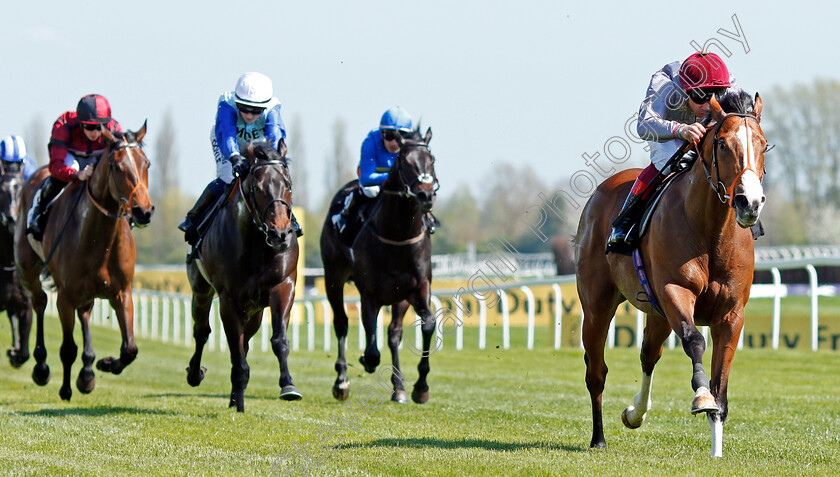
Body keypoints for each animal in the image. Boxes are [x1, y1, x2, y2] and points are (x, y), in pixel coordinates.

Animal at [13, 124, 153, 400]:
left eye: (147, 164)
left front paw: (104, 364)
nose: (144, 211)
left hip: (87, 291)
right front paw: (65, 388)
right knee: (39, 301)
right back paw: (41, 367)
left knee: (85, 313)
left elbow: (130, 349)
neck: (99, 239)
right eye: (117, 166)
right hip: (27, 269)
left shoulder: (122, 292)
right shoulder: (65, 296)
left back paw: (87, 371)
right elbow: (68, 348)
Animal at [185, 140, 300, 410]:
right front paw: (239, 403)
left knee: (245, 341)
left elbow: (278, 340)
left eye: (288, 185)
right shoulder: (228, 299)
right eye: (257, 188)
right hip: (201, 290)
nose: (280, 234)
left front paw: (288, 385)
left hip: (255, 310)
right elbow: (235, 353)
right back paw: (196, 374)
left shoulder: (283, 285)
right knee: (202, 331)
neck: (256, 244)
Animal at [320, 126, 440, 402]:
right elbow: (372, 348)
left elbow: (427, 324)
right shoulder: (370, 293)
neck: (398, 235)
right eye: (405, 161)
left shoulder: (417, 288)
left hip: (399, 297)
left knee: (393, 334)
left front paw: (420, 387)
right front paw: (365, 360)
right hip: (333, 278)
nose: (426, 194)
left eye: (432, 159)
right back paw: (341, 381)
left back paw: (398, 388)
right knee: (341, 323)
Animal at [576, 91, 768, 456]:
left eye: (762, 144)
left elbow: (721, 389)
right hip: (597, 306)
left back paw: (635, 413)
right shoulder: (674, 291)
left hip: (657, 313)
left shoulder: (732, 314)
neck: (711, 234)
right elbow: (695, 341)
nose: (749, 202)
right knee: (596, 372)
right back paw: (598, 438)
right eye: (723, 144)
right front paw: (701, 396)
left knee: (649, 355)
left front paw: (717, 451)